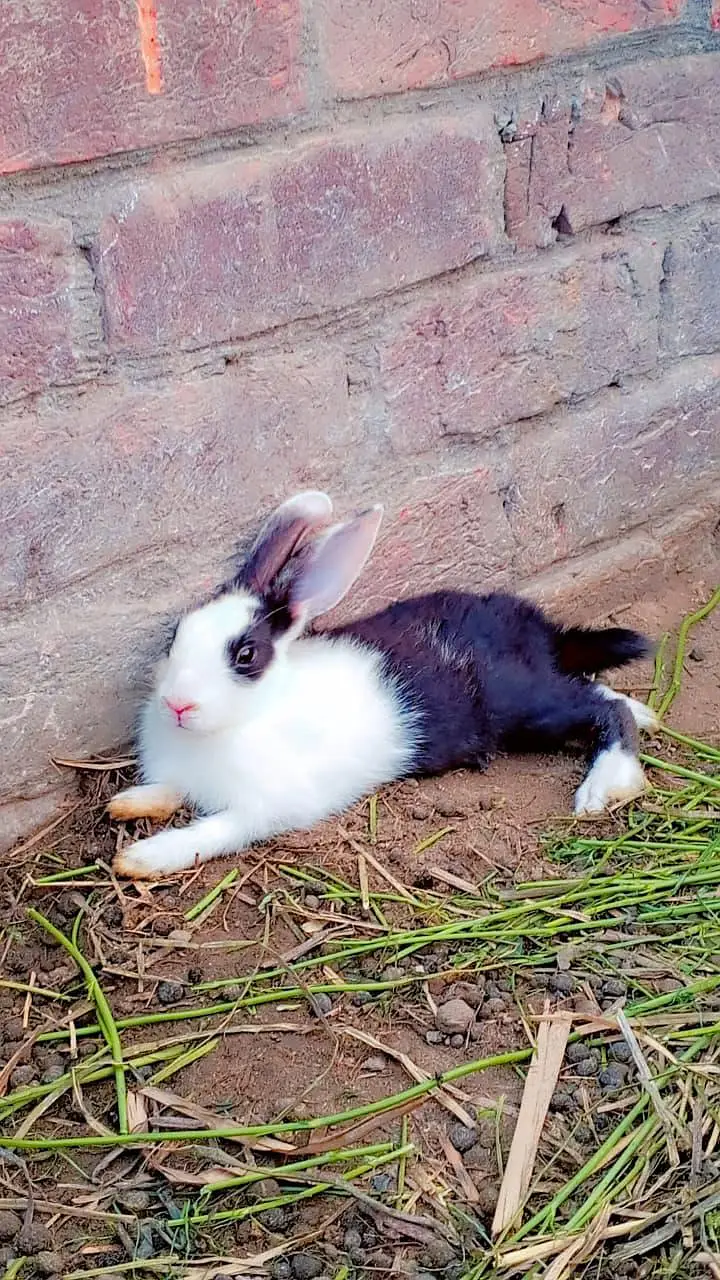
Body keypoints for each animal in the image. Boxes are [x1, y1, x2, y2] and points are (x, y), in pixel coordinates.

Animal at [109, 490, 658, 879]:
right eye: (176, 635)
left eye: (246, 655)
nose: (178, 705)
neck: (250, 715)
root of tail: (540, 630)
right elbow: (170, 790)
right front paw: (130, 803)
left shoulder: (260, 809)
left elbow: (210, 832)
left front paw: (142, 857)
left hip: (522, 707)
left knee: (604, 711)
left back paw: (605, 786)